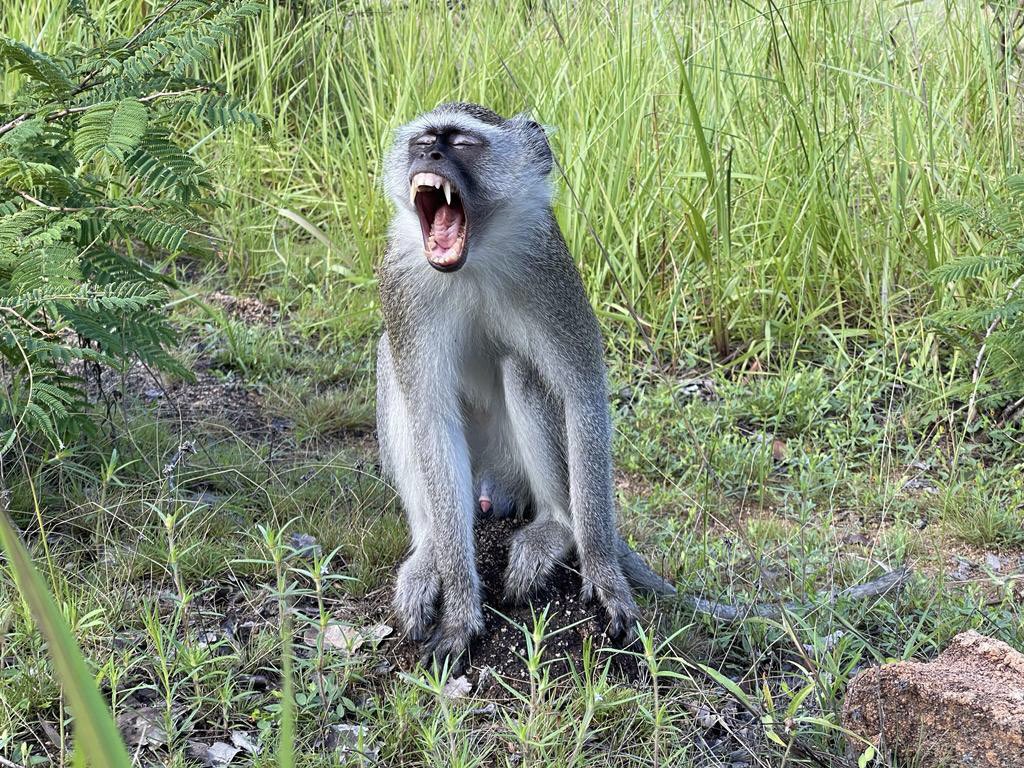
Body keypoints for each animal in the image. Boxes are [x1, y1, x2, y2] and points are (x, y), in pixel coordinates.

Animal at [375, 102, 674, 668]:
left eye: (461, 143)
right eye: (424, 140)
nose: (428, 156)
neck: (473, 258)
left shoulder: (547, 266)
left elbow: (583, 392)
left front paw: (604, 571)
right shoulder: (403, 282)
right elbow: (431, 418)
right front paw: (461, 605)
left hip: (515, 470)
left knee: (521, 368)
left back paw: (558, 525)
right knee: (390, 360)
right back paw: (428, 551)